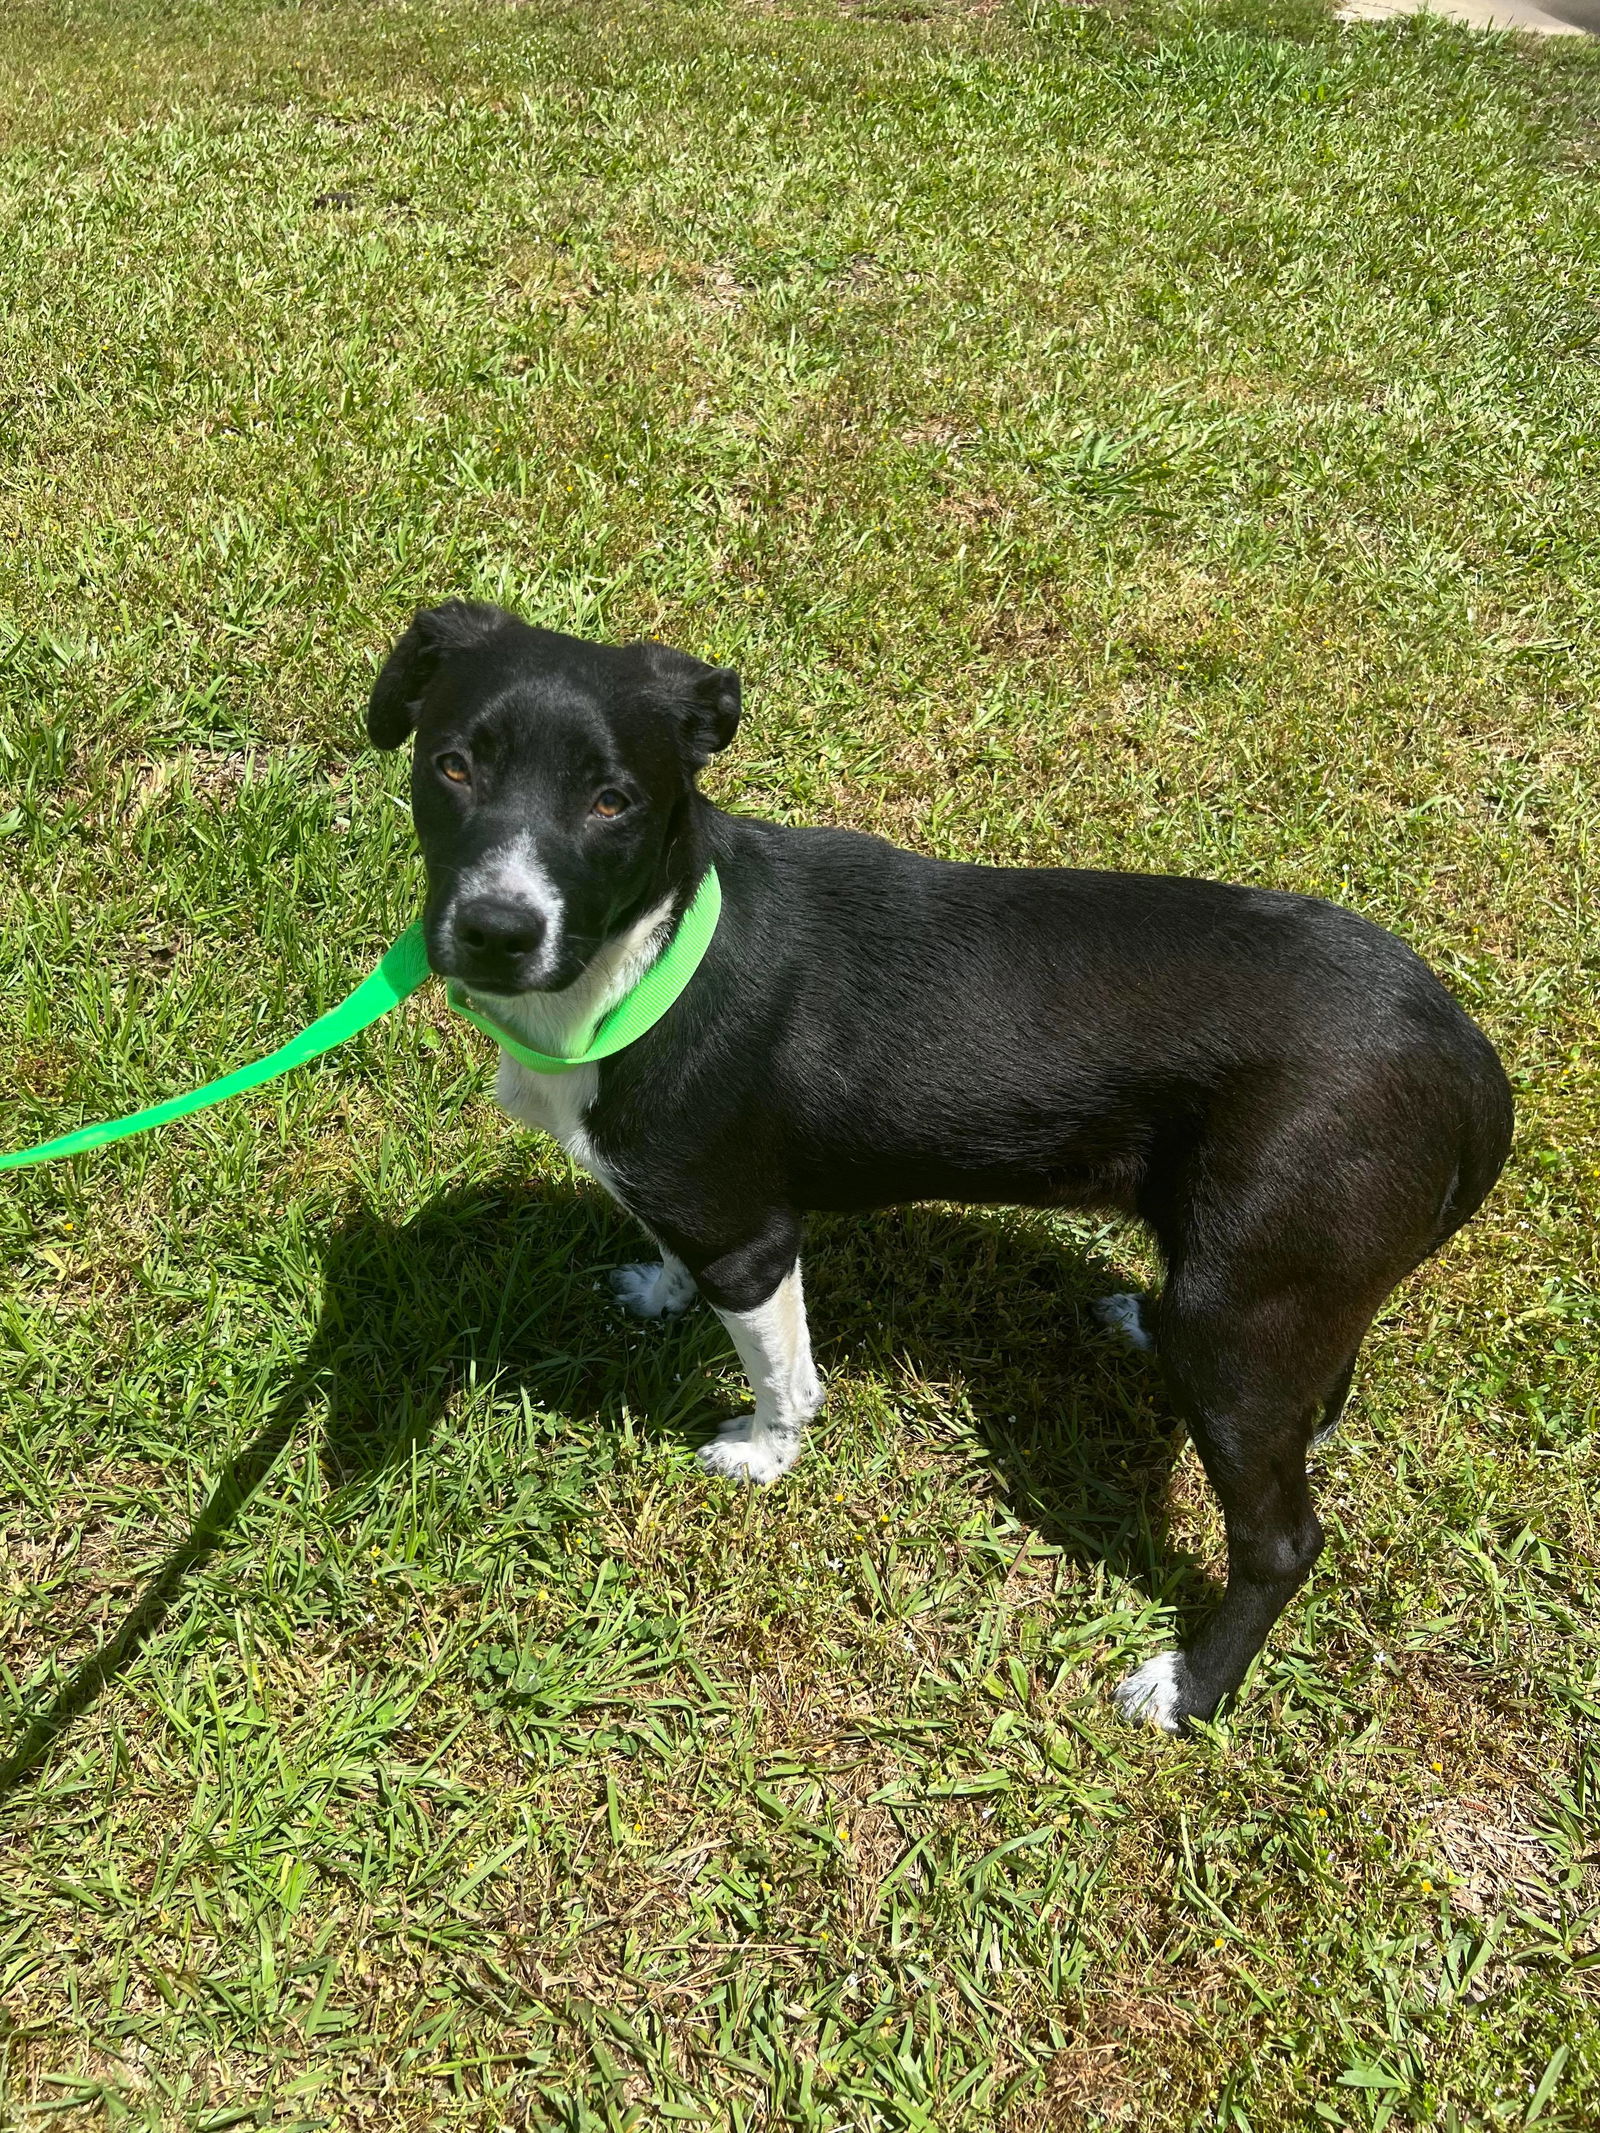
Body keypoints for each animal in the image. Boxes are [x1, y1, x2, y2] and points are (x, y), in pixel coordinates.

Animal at [373, 601, 1518, 1731]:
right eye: (452, 765)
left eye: (613, 801)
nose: (495, 930)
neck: (643, 953)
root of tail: (1470, 1064)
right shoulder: (684, 1197)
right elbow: (663, 1244)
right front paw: (658, 1291)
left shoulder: (749, 1241)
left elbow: (783, 1373)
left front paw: (762, 1454)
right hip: (1281, 1285)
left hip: (1244, 1322)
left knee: (1282, 1541)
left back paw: (1190, 1691)